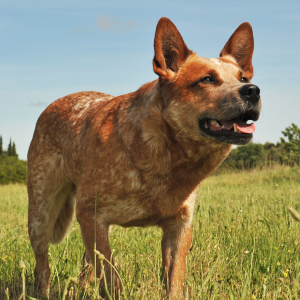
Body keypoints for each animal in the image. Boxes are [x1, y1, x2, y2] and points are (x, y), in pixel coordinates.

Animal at [27, 17, 260, 300]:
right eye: (206, 79)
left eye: (243, 77)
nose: (253, 90)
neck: (169, 158)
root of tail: (54, 104)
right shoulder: (92, 216)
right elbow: (111, 276)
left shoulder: (179, 227)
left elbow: (174, 281)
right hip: (41, 214)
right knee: (43, 265)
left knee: (86, 261)